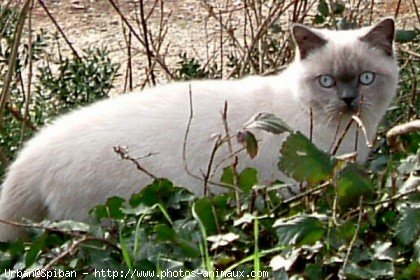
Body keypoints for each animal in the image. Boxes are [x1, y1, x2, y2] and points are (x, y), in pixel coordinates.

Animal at [0, 18, 398, 241]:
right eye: (327, 82)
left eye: (366, 78)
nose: (349, 100)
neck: (348, 133)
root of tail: (28, 157)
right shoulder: (295, 189)